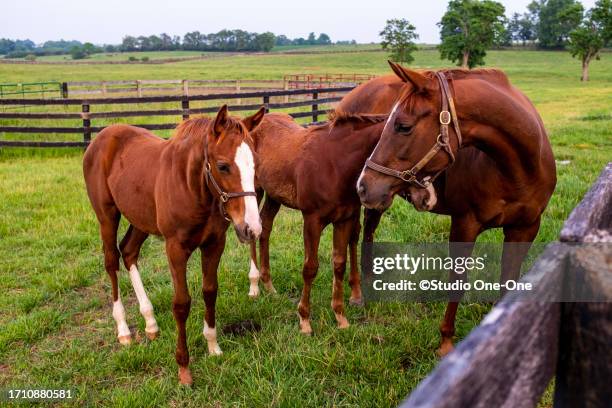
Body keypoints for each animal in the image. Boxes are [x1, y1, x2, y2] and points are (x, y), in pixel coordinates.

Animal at [83, 103, 266, 384]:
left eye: (255, 164)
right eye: (223, 166)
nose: (252, 228)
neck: (193, 187)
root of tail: (101, 137)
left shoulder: (215, 243)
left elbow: (210, 291)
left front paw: (213, 346)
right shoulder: (176, 249)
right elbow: (181, 303)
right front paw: (184, 368)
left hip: (141, 217)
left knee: (129, 251)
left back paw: (150, 322)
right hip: (107, 216)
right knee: (111, 261)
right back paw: (123, 329)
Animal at [245, 112, 384, 334]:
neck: (336, 164)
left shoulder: (344, 220)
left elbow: (339, 264)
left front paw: (341, 317)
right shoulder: (312, 220)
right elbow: (310, 268)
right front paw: (304, 320)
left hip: (275, 196)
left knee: (265, 227)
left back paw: (269, 286)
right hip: (255, 190)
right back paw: (255, 287)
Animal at [356, 62, 556, 356]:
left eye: (403, 126)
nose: (364, 184)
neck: (518, 169)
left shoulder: (525, 229)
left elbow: (509, 279)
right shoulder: (465, 225)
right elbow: (457, 281)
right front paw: (446, 342)